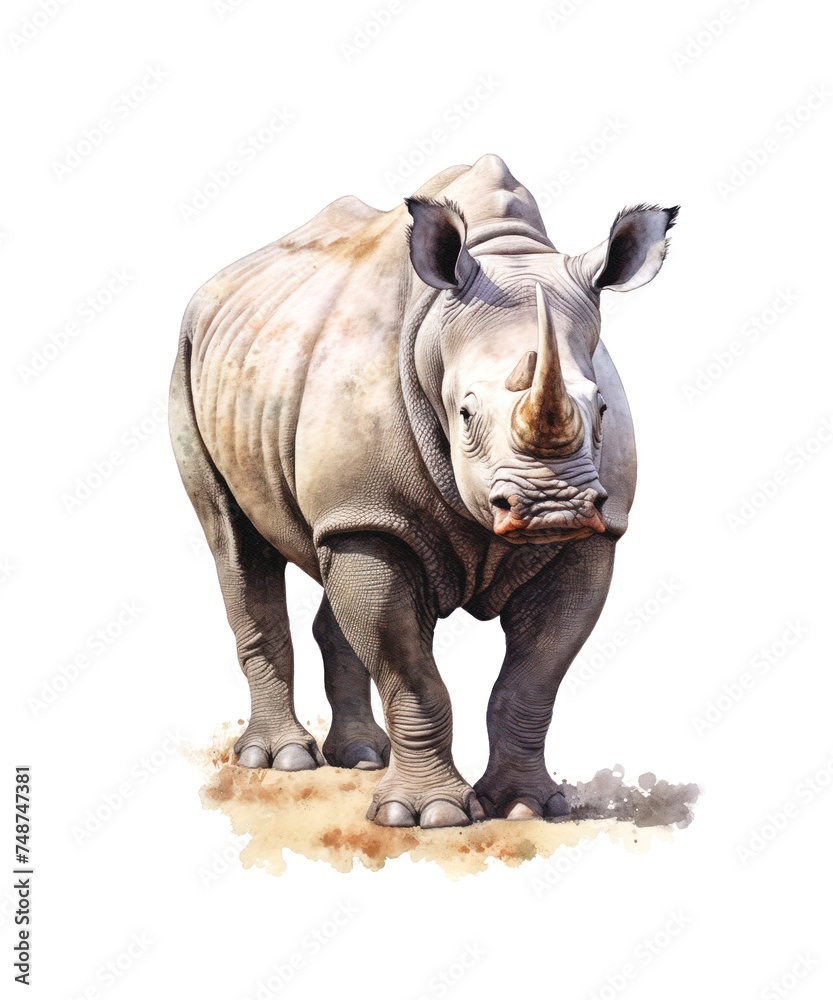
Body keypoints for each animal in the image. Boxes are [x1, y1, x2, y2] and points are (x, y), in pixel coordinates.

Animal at [169, 154, 677, 828]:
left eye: (599, 410)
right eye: (465, 413)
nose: (553, 510)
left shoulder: (595, 533)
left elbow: (533, 679)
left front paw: (526, 808)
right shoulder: (368, 512)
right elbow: (409, 670)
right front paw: (427, 817)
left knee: (332, 568)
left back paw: (363, 758)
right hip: (187, 357)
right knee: (234, 541)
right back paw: (282, 761)